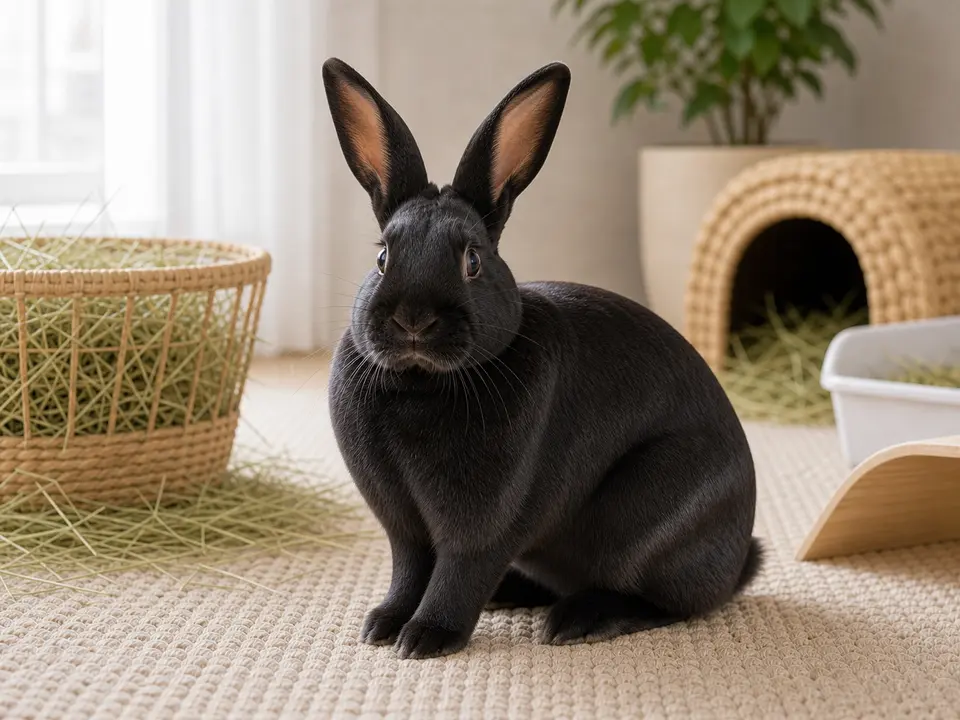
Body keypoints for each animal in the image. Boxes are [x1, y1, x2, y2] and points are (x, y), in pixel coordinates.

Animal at [321, 57, 762, 660]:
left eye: (472, 261)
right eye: (383, 256)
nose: (414, 319)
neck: (419, 382)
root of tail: (739, 560)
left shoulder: (481, 526)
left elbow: (458, 572)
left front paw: (425, 638)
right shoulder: (404, 527)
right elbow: (408, 570)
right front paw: (382, 625)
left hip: (655, 513)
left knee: (662, 600)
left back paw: (577, 621)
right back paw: (510, 595)